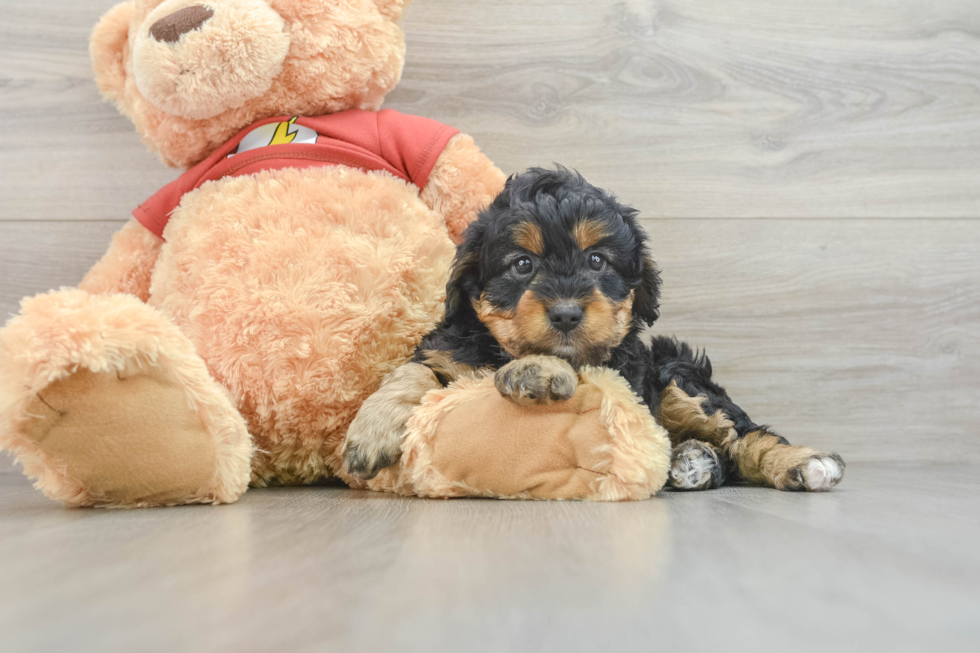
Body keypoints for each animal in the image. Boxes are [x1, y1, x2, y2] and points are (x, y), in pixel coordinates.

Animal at [344, 167, 844, 488]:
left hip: (679, 376)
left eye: (597, 261)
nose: (566, 313)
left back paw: (803, 463)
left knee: (742, 434)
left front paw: (537, 370)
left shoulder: (623, 371)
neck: (501, 350)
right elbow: (412, 370)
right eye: (522, 265)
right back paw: (692, 460)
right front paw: (369, 433)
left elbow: (583, 368)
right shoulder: (446, 348)